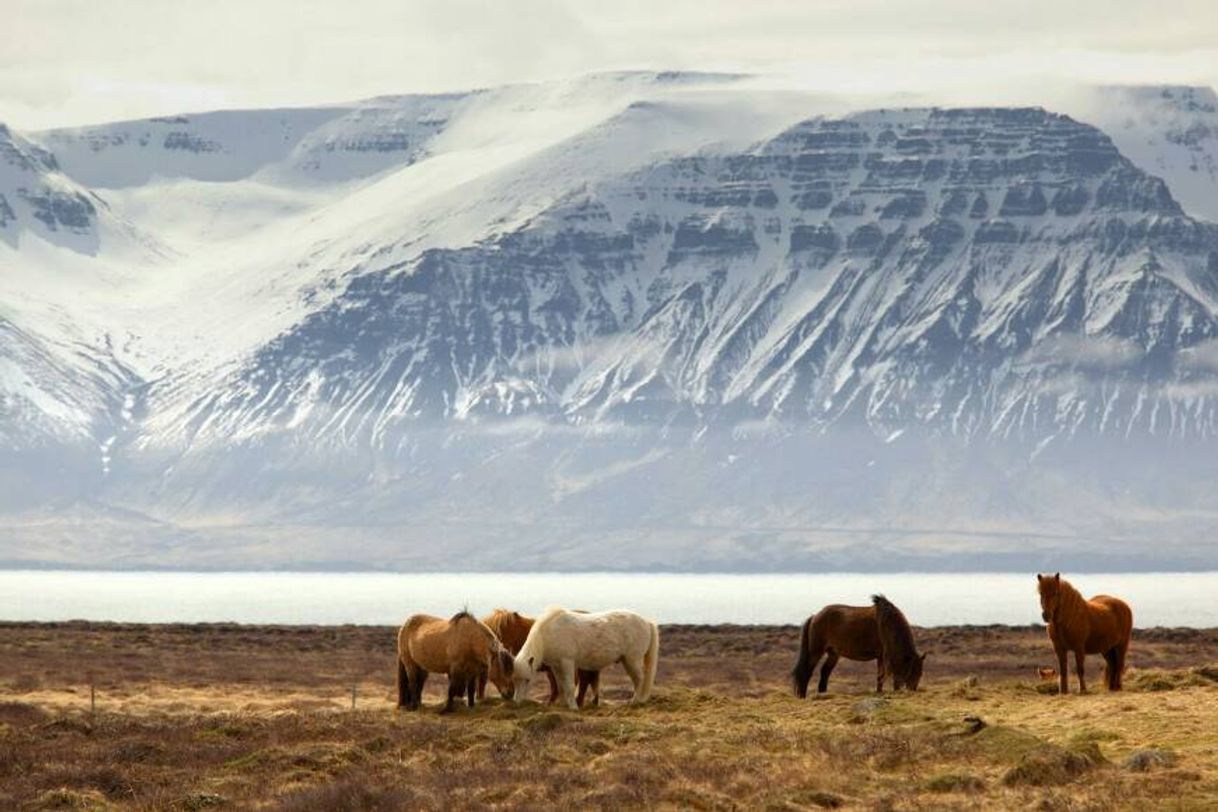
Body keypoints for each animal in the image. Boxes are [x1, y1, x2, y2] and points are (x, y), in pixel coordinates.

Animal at [516, 606, 667, 706]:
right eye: (515, 679)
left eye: (528, 680)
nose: (516, 701)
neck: (548, 632)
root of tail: (647, 622)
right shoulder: (556, 666)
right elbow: (561, 686)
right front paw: (564, 705)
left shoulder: (567, 662)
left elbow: (569, 686)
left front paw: (573, 707)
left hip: (632, 660)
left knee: (640, 680)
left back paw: (634, 702)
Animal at [794, 591, 925, 701]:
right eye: (913, 671)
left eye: (920, 673)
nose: (913, 690)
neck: (889, 624)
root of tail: (815, 616)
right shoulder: (884, 656)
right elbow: (882, 675)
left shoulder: (881, 657)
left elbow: (880, 676)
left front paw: (880, 692)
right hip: (816, 651)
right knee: (806, 671)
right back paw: (802, 696)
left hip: (833, 653)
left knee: (825, 672)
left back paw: (823, 694)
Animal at [1037, 572, 1130, 701]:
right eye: (1041, 593)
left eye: (1055, 593)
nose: (1046, 615)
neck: (1069, 618)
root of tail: (1125, 606)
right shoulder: (1059, 649)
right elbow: (1063, 670)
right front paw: (1063, 692)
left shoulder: (1079, 648)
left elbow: (1080, 669)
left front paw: (1083, 690)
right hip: (1107, 649)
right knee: (1112, 665)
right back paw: (1112, 688)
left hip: (1121, 645)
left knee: (1119, 664)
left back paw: (1118, 687)